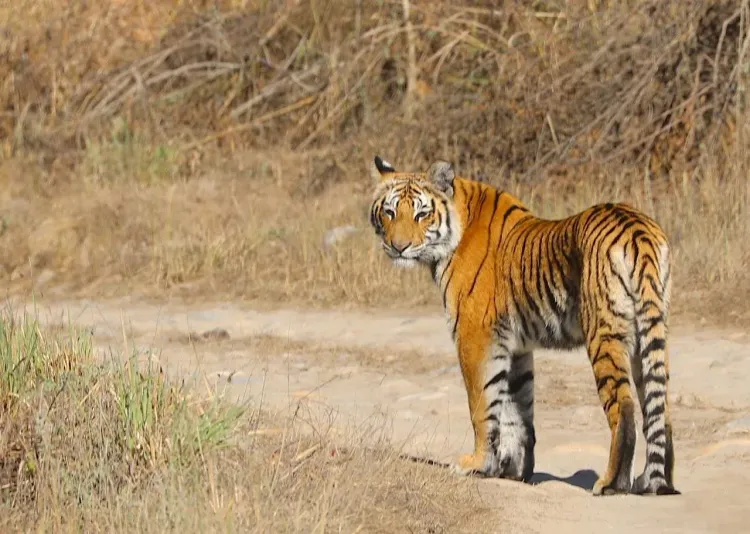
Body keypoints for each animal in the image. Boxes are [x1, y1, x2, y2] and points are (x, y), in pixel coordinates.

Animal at [368, 155, 679, 496]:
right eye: (390, 211)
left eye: (422, 214)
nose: (399, 247)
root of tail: (638, 229)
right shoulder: (514, 346)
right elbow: (517, 412)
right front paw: (512, 471)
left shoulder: (475, 337)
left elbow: (481, 405)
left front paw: (475, 464)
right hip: (650, 335)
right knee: (659, 409)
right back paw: (653, 482)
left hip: (605, 333)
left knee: (624, 406)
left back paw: (611, 483)